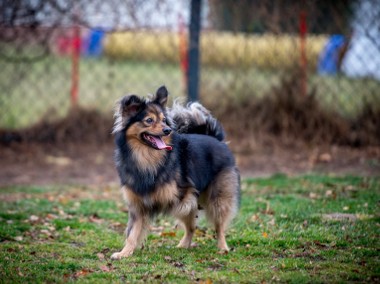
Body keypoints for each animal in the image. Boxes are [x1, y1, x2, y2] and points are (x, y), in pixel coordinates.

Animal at [110, 85, 240, 260]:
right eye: (149, 120)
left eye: (164, 119)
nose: (168, 129)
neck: (147, 158)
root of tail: (216, 139)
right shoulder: (138, 206)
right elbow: (132, 233)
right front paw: (125, 253)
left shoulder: (182, 193)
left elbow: (182, 198)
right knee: (191, 227)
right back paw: (183, 245)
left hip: (218, 200)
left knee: (219, 227)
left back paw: (223, 248)